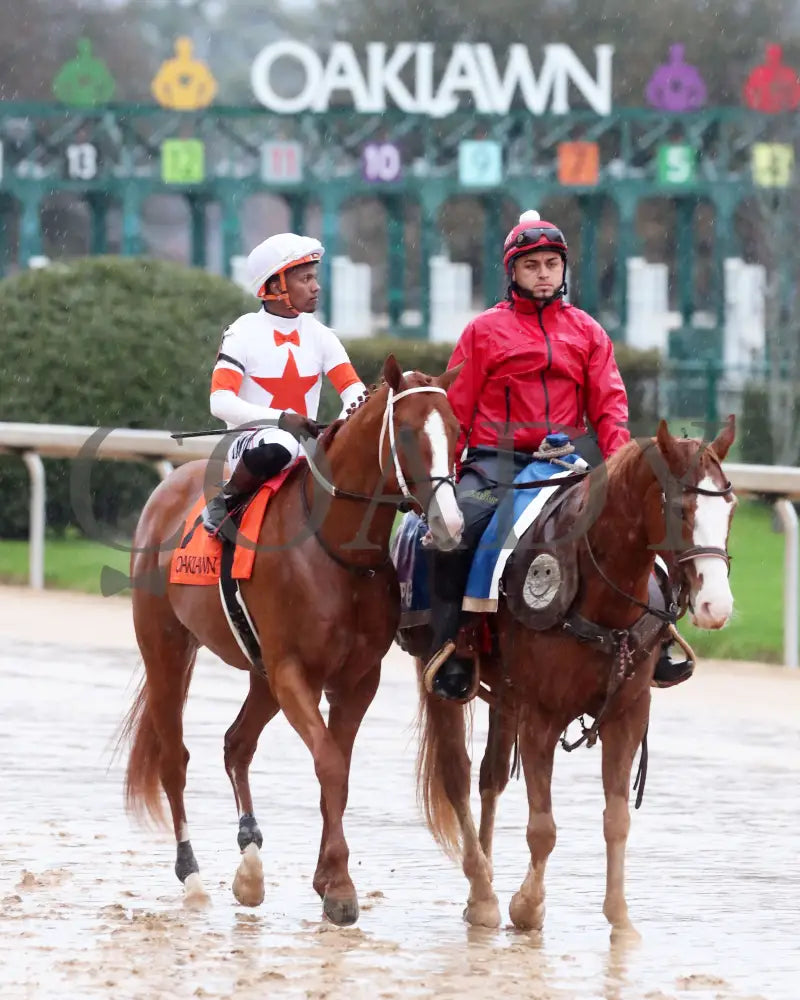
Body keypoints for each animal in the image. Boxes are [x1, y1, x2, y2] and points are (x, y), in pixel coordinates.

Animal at [122, 358, 466, 920]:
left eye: (457, 430)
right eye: (408, 433)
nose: (451, 523)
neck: (338, 553)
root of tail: (167, 489)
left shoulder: (356, 680)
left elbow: (338, 772)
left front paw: (328, 879)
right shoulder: (293, 673)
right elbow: (328, 763)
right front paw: (340, 886)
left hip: (260, 674)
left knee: (236, 745)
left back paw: (250, 862)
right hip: (166, 648)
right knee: (174, 759)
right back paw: (191, 876)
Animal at [418, 418, 736, 932]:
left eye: (730, 507)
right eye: (681, 509)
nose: (716, 606)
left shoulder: (628, 715)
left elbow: (616, 819)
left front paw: (620, 917)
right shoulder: (542, 716)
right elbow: (542, 828)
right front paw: (527, 906)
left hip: (507, 699)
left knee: (490, 777)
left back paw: (481, 879)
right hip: (441, 682)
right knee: (457, 777)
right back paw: (482, 893)